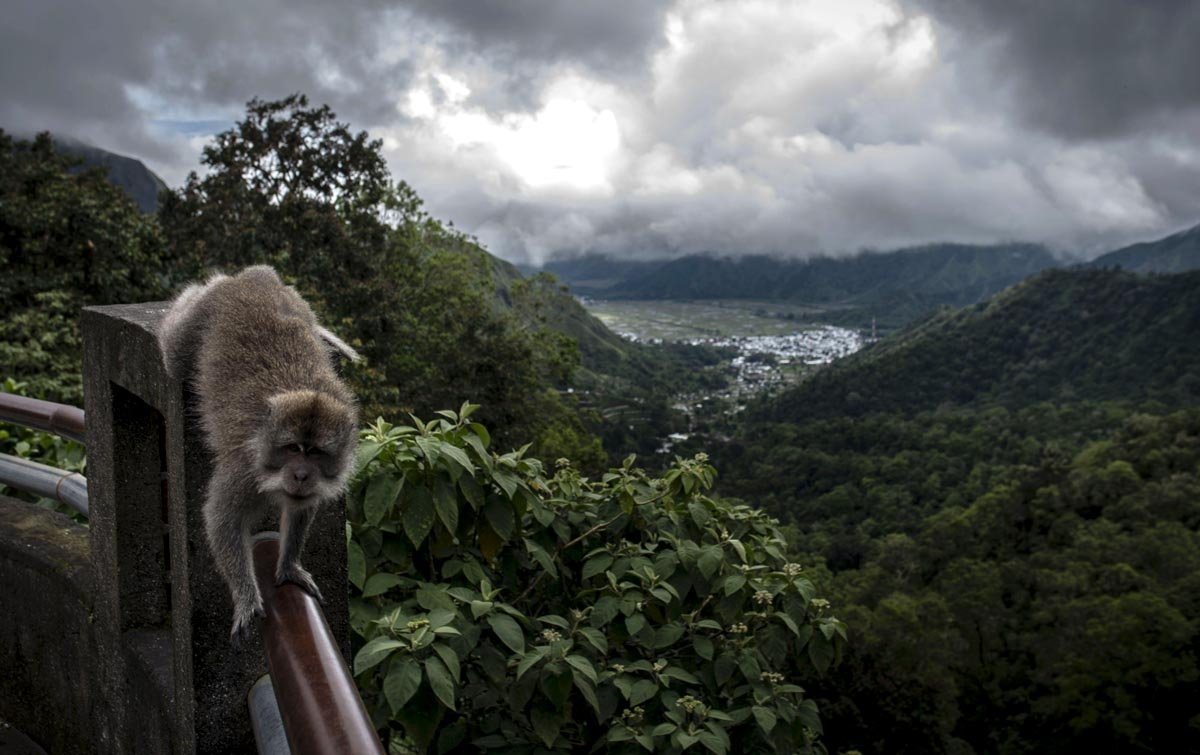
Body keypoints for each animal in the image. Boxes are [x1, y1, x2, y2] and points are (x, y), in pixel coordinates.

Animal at [158, 265, 360, 642]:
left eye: (315, 454)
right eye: (293, 449)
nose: (300, 475)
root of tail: (254, 278)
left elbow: (300, 509)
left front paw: (289, 564)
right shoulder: (243, 469)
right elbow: (221, 519)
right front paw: (246, 597)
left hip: (295, 301)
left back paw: (323, 333)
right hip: (201, 316)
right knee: (175, 349)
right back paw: (195, 291)